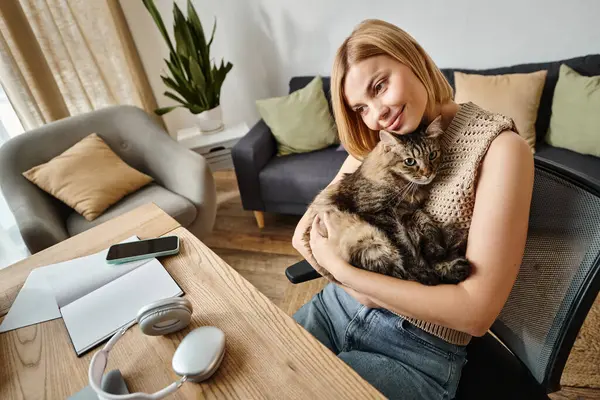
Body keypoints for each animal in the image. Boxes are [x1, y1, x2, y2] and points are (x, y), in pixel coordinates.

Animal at [308, 117, 472, 286]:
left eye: (432, 155)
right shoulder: (380, 215)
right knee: (400, 271)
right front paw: (423, 267)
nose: (428, 173)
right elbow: (405, 246)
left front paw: (435, 243)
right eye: (410, 161)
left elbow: (425, 222)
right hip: (371, 244)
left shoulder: (409, 212)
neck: (403, 187)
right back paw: (439, 272)